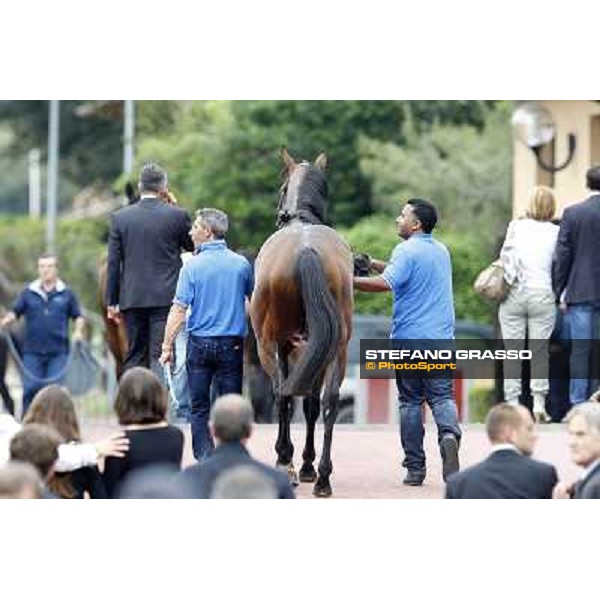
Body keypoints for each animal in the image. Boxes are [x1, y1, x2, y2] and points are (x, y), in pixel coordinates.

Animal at [250, 149, 354, 496]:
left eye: (282, 187)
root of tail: (306, 248)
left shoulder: (280, 346)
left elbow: (286, 397)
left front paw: (291, 459)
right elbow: (310, 403)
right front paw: (309, 465)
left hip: (271, 343)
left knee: (282, 394)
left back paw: (288, 463)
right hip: (337, 346)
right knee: (329, 401)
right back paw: (323, 476)